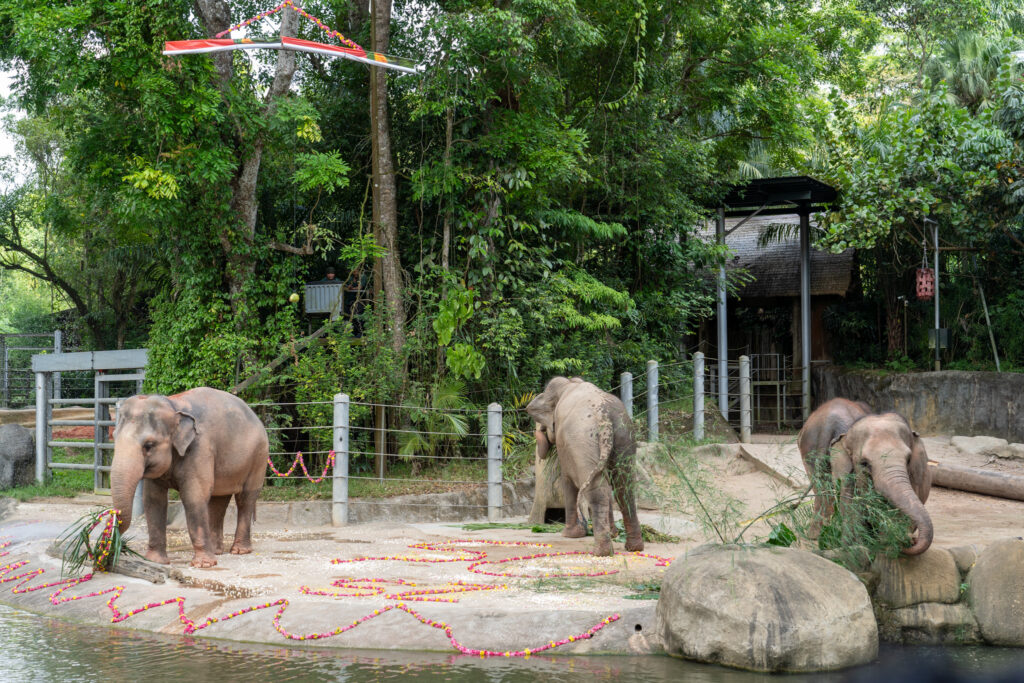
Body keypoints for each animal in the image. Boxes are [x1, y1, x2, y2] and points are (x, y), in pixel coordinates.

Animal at [111, 387, 269, 568]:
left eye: (149, 445)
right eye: (114, 438)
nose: (119, 544)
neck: (173, 406)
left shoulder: (200, 448)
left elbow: (193, 496)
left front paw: (203, 565)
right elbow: (153, 500)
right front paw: (154, 561)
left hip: (259, 456)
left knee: (245, 498)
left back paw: (239, 551)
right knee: (219, 500)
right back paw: (216, 551)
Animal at [526, 376, 643, 556]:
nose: (539, 432)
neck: (570, 383)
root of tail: (604, 416)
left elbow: (566, 479)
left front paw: (569, 535)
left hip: (582, 442)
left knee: (597, 491)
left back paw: (601, 551)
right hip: (624, 435)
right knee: (624, 487)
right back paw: (633, 547)